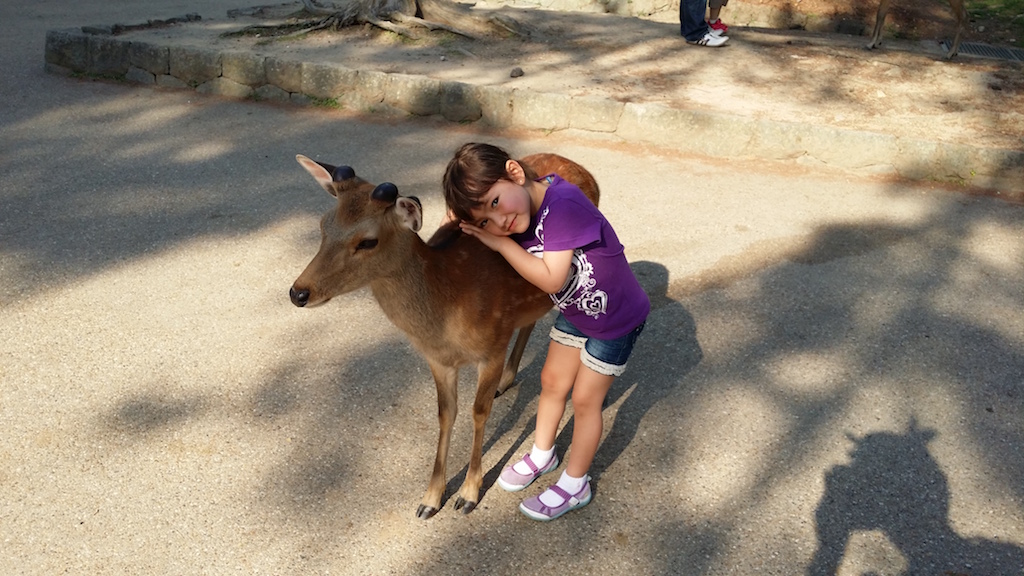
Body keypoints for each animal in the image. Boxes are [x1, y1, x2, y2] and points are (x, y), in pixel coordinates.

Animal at [288, 150, 598, 518]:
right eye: (323, 225)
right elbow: (446, 413)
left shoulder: (492, 346)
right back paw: (507, 381)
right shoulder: (438, 360)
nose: (298, 292)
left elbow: (478, 412)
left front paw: (468, 494)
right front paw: (430, 498)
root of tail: (581, 169)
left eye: (367, 241)